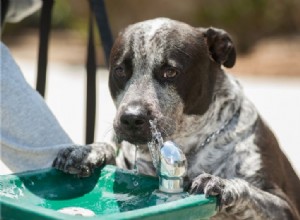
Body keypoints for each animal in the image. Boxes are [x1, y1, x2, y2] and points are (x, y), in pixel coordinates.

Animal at [54, 18, 300, 219]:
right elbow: (110, 149)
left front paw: (222, 184)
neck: (187, 144)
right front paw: (87, 151)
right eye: (120, 70)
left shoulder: (283, 206)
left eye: (170, 72)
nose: (132, 118)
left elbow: (246, 189)